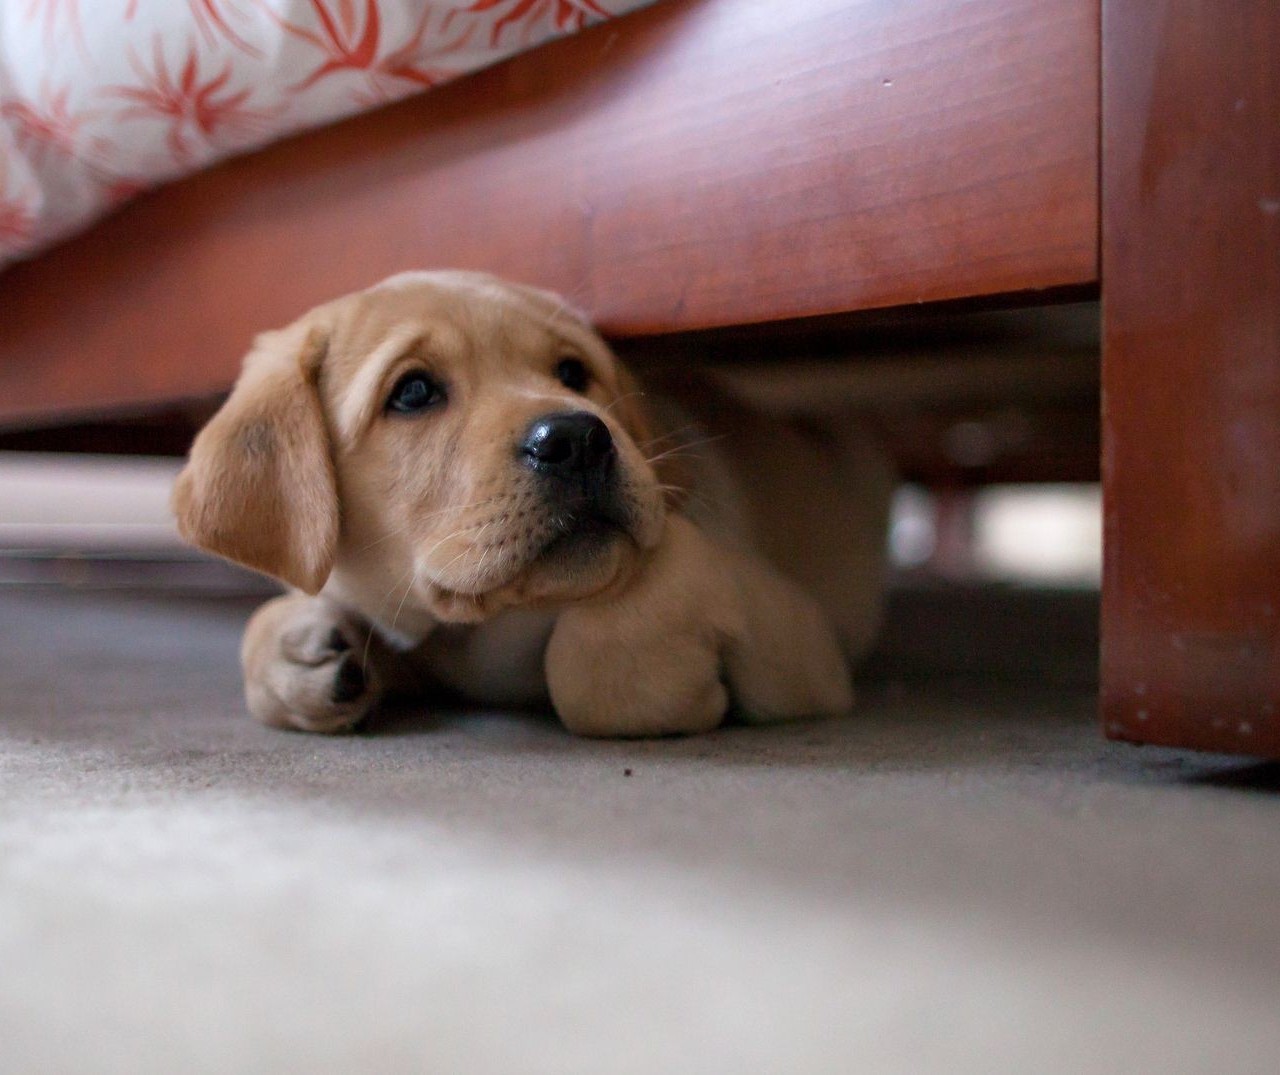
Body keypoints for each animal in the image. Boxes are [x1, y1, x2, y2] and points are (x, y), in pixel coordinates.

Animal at [172, 272, 890, 737]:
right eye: (413, 392)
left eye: (572, 373)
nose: (577, 440)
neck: (487, 630)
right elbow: (273, 622)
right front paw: (301, 649)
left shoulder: (804, 639)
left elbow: (606, 643)